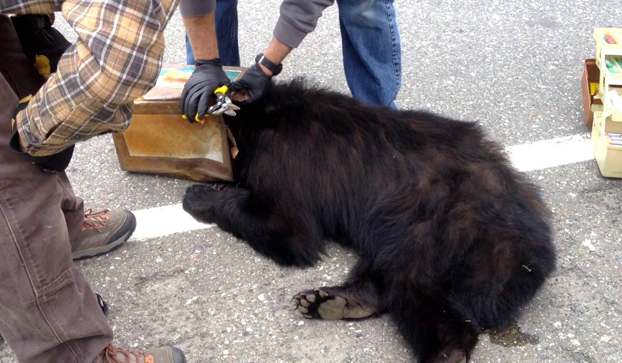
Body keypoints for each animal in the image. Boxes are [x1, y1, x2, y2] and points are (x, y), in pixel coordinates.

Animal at [183, 80, 560, 363]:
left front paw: (200, 196)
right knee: (389, 271)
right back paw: (335, 302)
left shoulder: (279, 158)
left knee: (409, 278)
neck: (260, 116)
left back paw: (445, 352)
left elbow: (290, 233)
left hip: (438, 220)